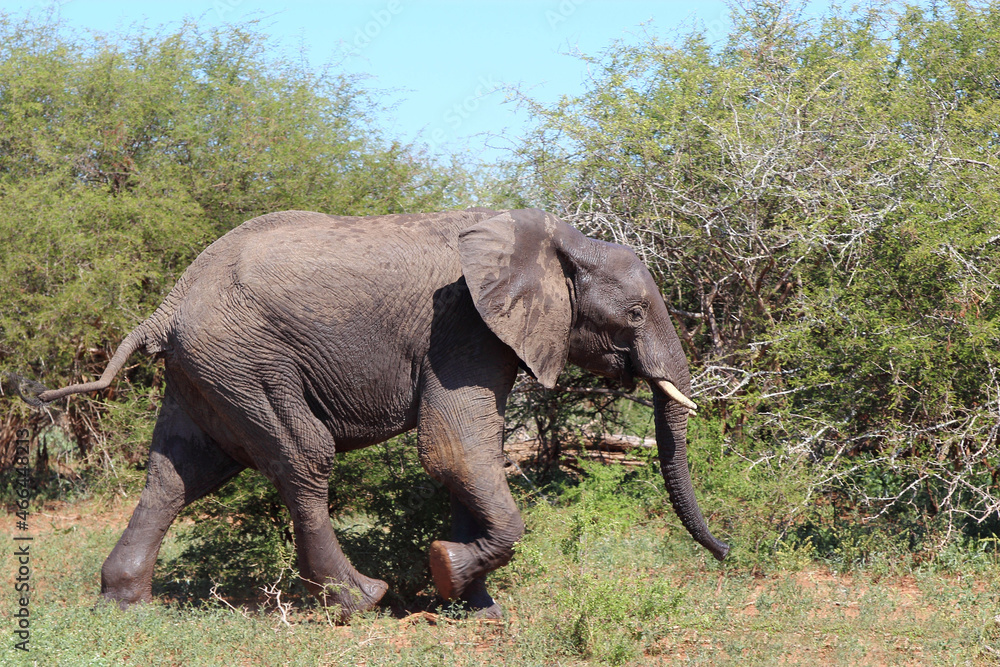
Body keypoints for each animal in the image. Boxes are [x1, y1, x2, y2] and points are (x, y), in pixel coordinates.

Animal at [12, 207, 728, 619]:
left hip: (206, 370)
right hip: (246, 357)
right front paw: (445, 571)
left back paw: (124, 604)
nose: (724, 554)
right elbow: (454, 449)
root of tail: (166, 306)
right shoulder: (463, 328)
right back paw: (360, 599)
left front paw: (475, 609)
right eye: (633, 313)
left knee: (179, 473)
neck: (559, 241)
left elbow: (466, 459)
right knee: (303, 458)